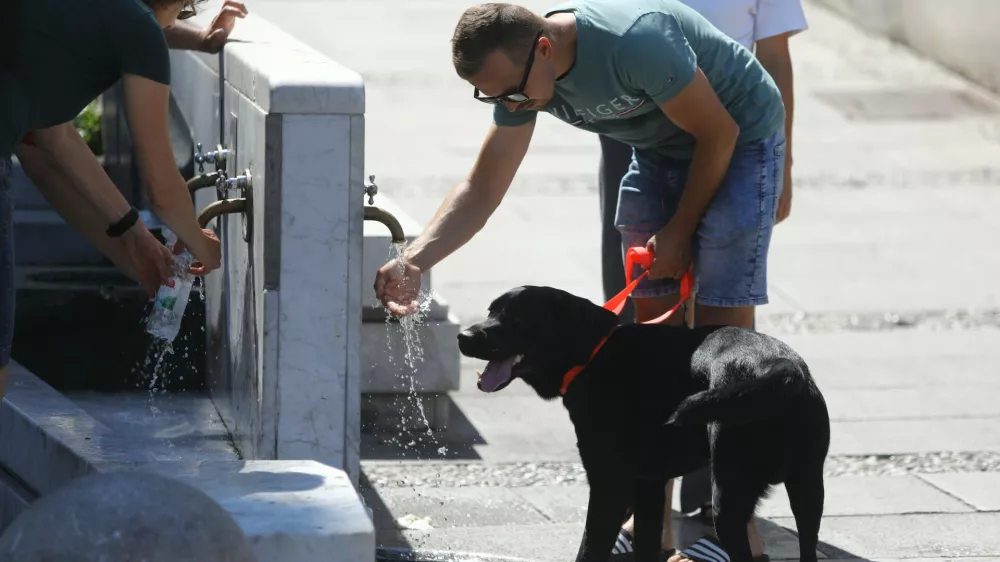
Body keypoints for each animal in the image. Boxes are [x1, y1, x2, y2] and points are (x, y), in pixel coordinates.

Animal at [458, 286, 832, 560]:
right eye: (490, 311)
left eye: (517, 318)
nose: (463, 336)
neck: (592, 354)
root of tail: (781, 368)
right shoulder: (649, 485)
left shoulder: (608, 486)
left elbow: (589, 550)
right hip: (808, 488)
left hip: (728, 498)